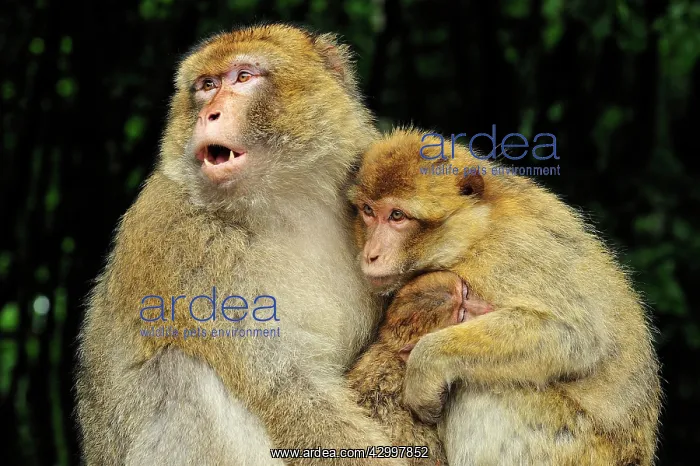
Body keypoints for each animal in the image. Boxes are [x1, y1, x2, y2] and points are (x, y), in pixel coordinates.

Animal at [75, 24, 407, 466]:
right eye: (206, 85)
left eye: (244, 77)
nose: (207, 114)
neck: (284, 206)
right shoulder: (179, 238)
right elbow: (287, 387)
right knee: (181, 374)